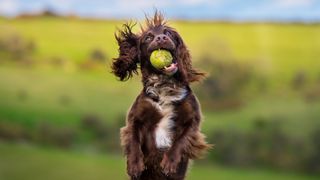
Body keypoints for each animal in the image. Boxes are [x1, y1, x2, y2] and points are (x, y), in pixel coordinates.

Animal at [111, 11, 211, 180]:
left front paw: (170, 162)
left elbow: (182, 139)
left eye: (168, 33)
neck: (164, 85)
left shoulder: (193, 119)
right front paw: (134, 165)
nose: (161, 38)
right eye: (148, 37)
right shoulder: (135, 117)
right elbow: (133, 138)